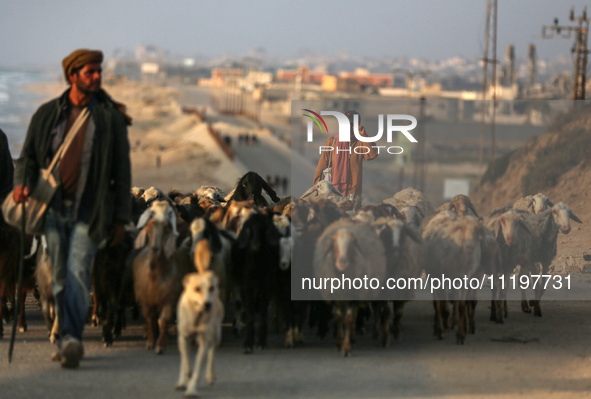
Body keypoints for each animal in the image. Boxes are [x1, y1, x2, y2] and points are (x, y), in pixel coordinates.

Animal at [132, 200, 183, 354]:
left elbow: (163, 320)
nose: (155, 248)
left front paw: (160, 345)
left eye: (167, 228)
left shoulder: (170, 298)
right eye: (149, 226)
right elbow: (150, 318)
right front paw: (150, 342)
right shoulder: (145, 299)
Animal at [176, 270, 224, 398]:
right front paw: (186, 378)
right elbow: (186, 361)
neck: (197, 316)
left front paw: (191, 390)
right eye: (197, 289)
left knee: (211, 353)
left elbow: (198, 369)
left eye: (211, 288)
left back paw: (211, 376)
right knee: (183, 358)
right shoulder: (183, 338)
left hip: (217, 334)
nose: (208, 304)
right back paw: (182, 382)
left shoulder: (204, 342)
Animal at [314, 219, 388, 356]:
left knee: (356, 315)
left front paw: (346, 347)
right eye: (334, 241)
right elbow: (338, 318)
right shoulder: (335, 296)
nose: (342, 262)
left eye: (352, 242)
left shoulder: (354, 296)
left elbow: (348, 319)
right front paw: (339, 342)